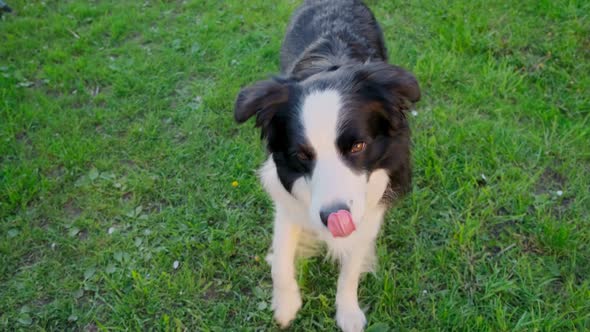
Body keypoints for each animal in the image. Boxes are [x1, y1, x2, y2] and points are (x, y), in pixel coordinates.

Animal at [235, 1, 420, 330]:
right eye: (302, 155)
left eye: (358, 146)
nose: (333, 217)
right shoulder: (287, 196)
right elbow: (281, 257)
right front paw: (285, 304)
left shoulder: (371, 203)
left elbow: (351, 268)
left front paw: (348, 312)